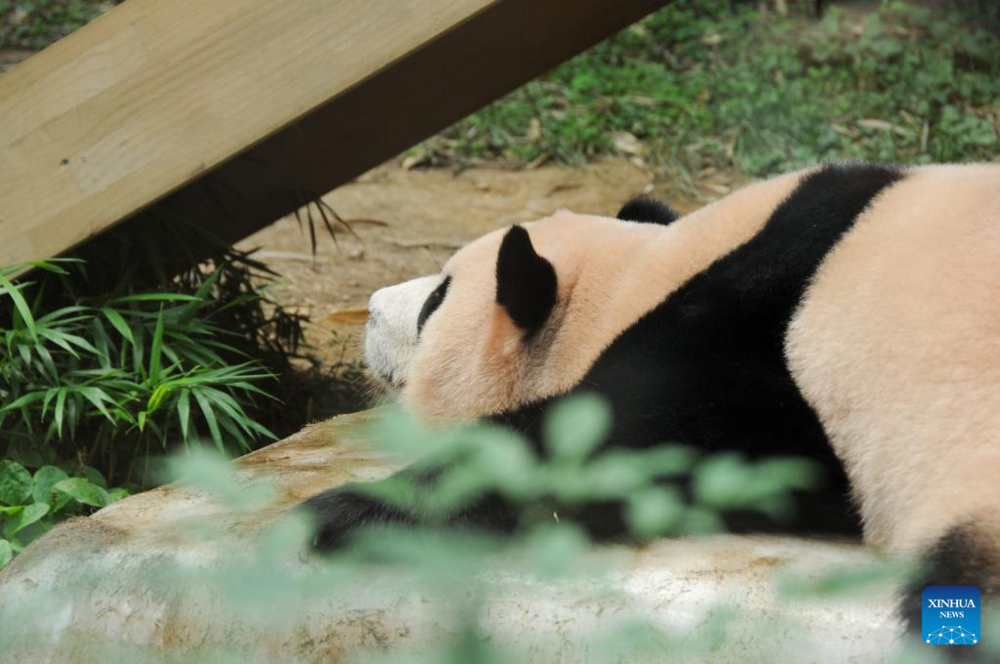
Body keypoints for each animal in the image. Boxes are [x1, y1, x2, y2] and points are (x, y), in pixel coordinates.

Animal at [304, 162, 1000, 639]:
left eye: (435, 302)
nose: (371, 308)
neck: (638, 277)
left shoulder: (743, 338)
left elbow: (613, 446)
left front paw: (339, 514)